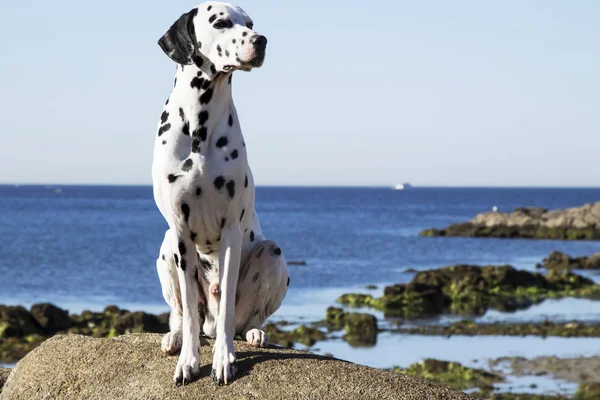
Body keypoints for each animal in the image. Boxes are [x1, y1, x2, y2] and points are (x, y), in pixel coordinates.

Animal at [151, 0, 290, 388]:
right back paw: (175, 337)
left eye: (251, 23)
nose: (261, 40)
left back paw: (255, 333)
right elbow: (187, 313)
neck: (199, 123)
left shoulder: (230, 231)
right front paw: (188, 361)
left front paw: (224, 359)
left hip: (272, 253)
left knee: (245, 318)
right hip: (166, 248)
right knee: (183, 314)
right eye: (220, 22)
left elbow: (228, 305)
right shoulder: (181, 234)